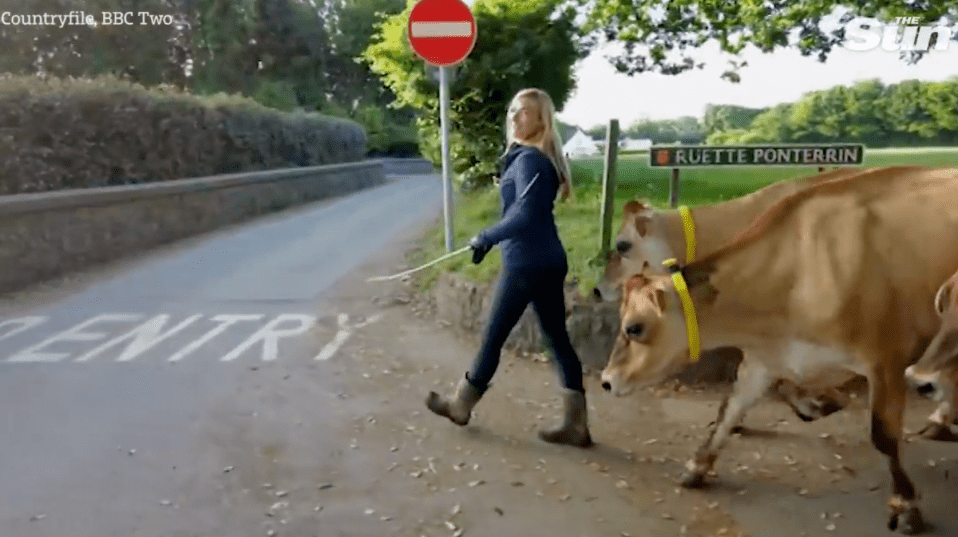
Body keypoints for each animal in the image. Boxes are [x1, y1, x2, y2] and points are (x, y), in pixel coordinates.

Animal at [604, 166, 958, 532]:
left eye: (634, 327)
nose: (606, 379)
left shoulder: (886, 359)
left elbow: (883, 435)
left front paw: (905, 505)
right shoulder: (764, 359)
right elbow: (730, 407)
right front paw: (698, 465)